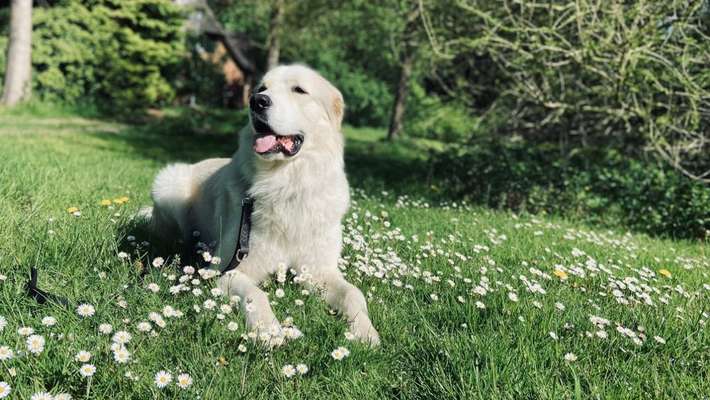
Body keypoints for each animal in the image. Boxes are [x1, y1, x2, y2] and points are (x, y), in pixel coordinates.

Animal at [146, 64, 384, 346]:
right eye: (262, 88)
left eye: (299, 90)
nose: (257, 101)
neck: (286, 183)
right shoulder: (227, 271)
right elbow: (256, 294)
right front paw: (268, 330)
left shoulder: (320, 271)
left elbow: (354, 293)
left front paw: (365, 331)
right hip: (169, 182)